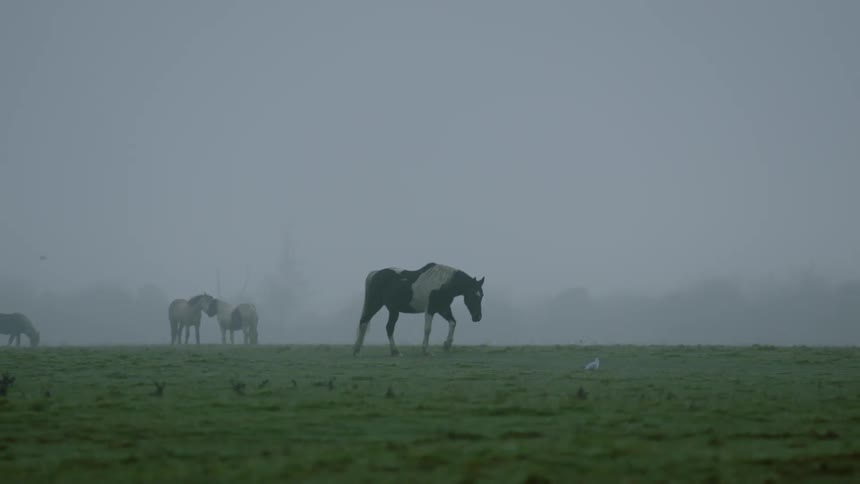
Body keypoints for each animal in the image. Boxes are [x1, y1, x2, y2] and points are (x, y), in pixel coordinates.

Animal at [352, 262, 485, 357]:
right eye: (473, 294)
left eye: (481, 295)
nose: (477, 317)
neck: (443, 283)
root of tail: (375, 274)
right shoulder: (430, 309)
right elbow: (428, 329)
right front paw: (426, 351)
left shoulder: (443, 309)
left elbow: (453, 323)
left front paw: (447, 345)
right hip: (375, 304)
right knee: (364, 322)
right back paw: (357, 350)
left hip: (393, 310)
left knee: (389, 328)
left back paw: (395, 352)